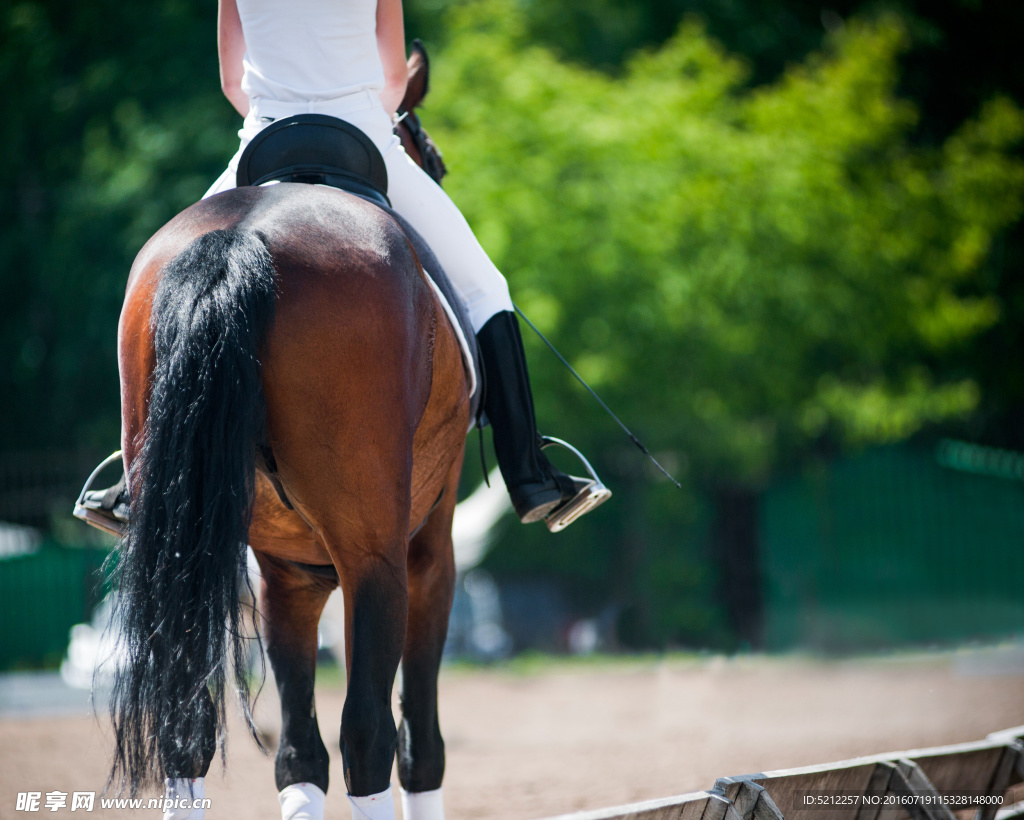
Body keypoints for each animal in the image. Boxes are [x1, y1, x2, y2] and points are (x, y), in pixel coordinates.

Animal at [105, 49, 466, 810]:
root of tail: (240, 238)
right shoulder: (427, 551)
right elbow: (418, 742)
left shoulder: (284, 575)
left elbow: (299, 747)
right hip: (379, 556)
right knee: (370, 733)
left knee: (195, 726)